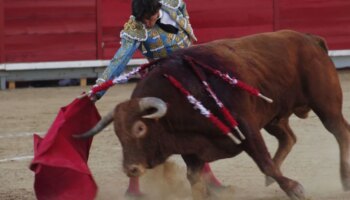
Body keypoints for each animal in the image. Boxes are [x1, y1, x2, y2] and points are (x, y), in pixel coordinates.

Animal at [79, 30, 350, 200]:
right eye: (117, 133)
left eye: (140, 128)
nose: (131, 169)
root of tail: (310, 38)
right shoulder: (192, 148)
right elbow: (194, 180)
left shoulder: (246, 128)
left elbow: (264, 162)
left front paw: (295, 189)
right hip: (274, 115)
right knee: (289, 138)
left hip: (325, 104)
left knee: (340, 131)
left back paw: (345, 176)